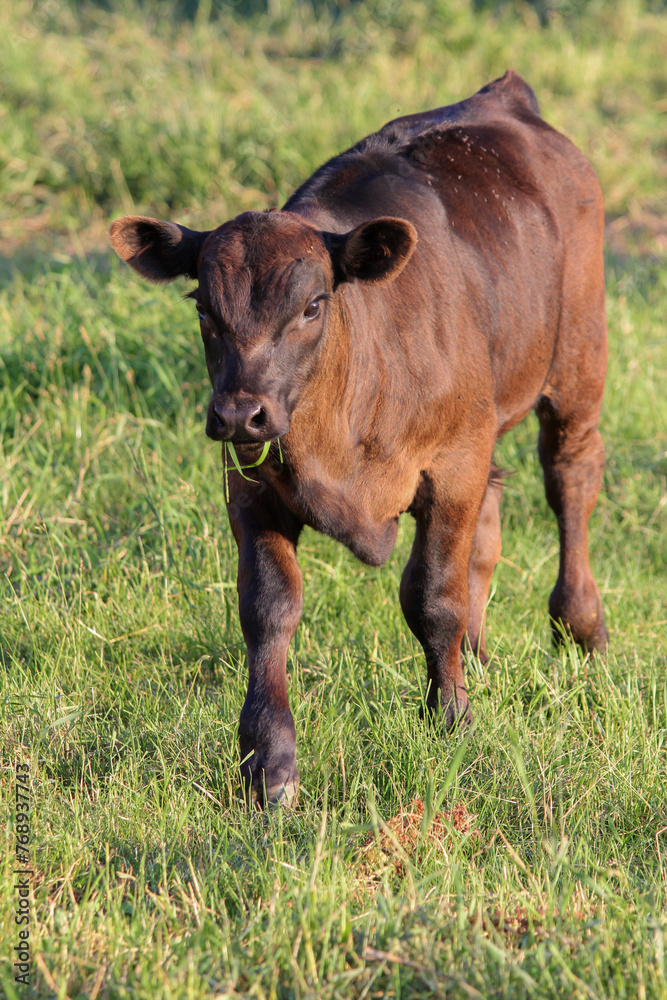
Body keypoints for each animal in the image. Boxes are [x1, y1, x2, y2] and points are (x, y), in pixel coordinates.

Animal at [109, 71, 608, 807]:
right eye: (202, 307)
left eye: (313, 305)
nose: (240, 415)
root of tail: (503, 97)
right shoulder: (250, 486)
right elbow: (268, 610)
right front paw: (269, 764)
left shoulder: (449, 466)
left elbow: (431, 596)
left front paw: (449, 718)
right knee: (490, 526)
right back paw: (479, 660)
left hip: (575, 363)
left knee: (569, 481)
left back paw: (579, 630)